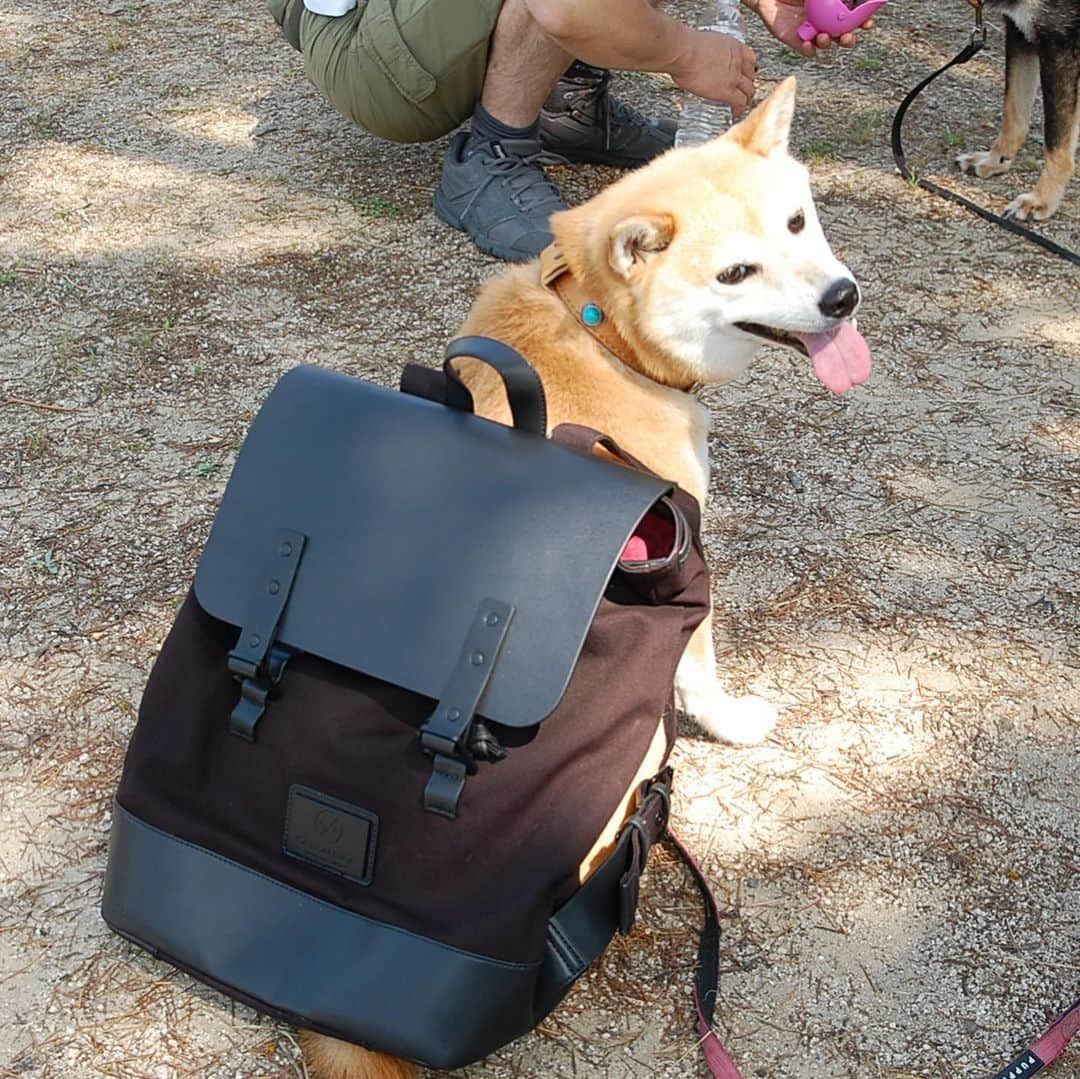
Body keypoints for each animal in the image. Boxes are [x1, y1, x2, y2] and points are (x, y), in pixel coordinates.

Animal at [302, 76, 868, 1079]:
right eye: (736, 274)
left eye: (799, 222)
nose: (843, 297)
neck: (601, 334)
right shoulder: (686, 568)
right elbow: (704, 676)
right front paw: (734, 721)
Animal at [959, 0, 1075, 219]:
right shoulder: (1020, 30)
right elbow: (1013, 113)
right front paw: (997, 159)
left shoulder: (1060, 41)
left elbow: (1056, 141)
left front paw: (1041, 199)